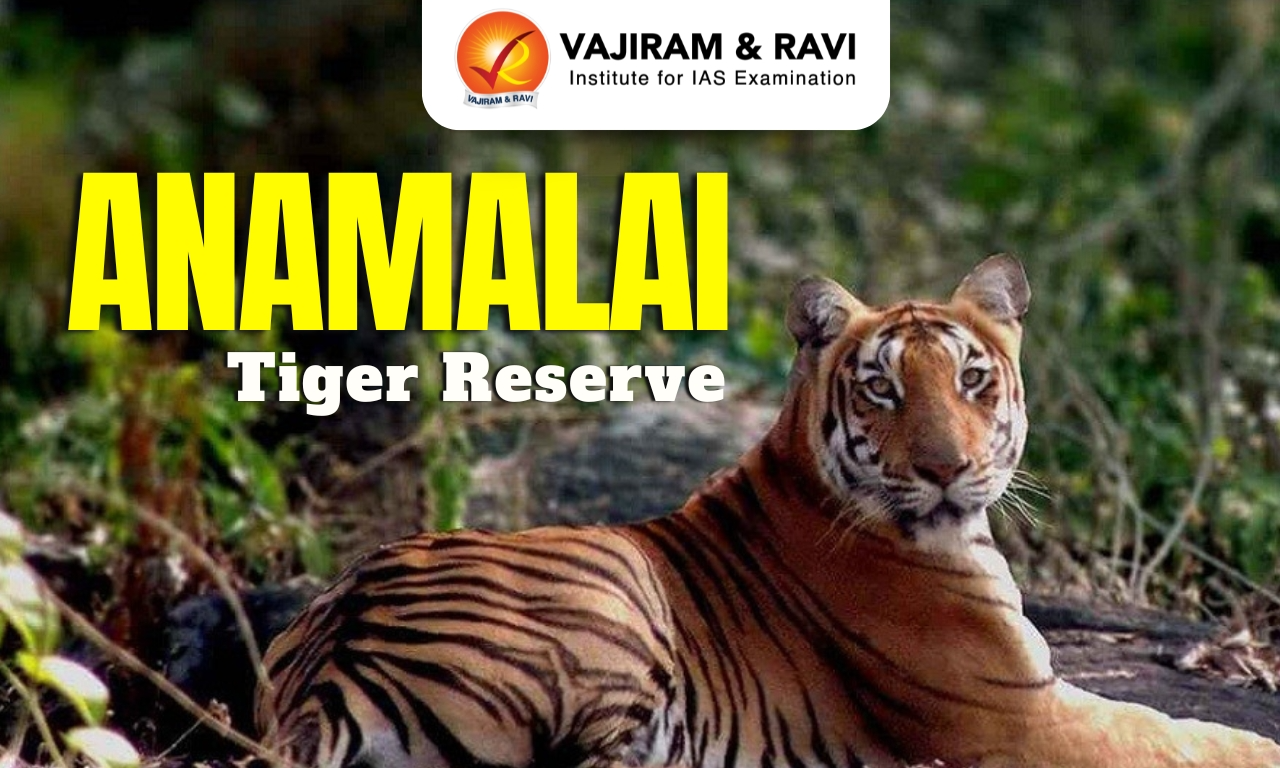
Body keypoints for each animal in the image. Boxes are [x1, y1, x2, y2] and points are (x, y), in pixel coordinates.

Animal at [256, 255, 1280, 768]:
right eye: (882, 388)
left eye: (971, 380)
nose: (947, 469)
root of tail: (332, 657)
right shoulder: (1022, 718)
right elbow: (1190, 739)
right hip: (616, 583)